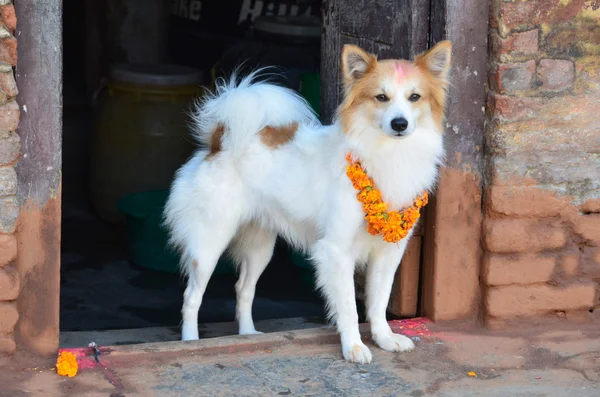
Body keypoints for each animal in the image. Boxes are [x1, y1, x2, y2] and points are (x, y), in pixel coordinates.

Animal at [164, 41, 450, 362]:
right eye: (381, 97)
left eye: (415, 97)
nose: (399, 124)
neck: (387, 152)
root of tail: (218, 143)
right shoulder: (337, 251)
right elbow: (349, 308)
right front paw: (354, 346)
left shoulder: (389, 252)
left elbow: (378, 301)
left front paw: (384, 338)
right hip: (209, 244)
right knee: (191, 297)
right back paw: (190, 342)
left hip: (260, 247)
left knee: (243, 289)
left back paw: (248, 335)